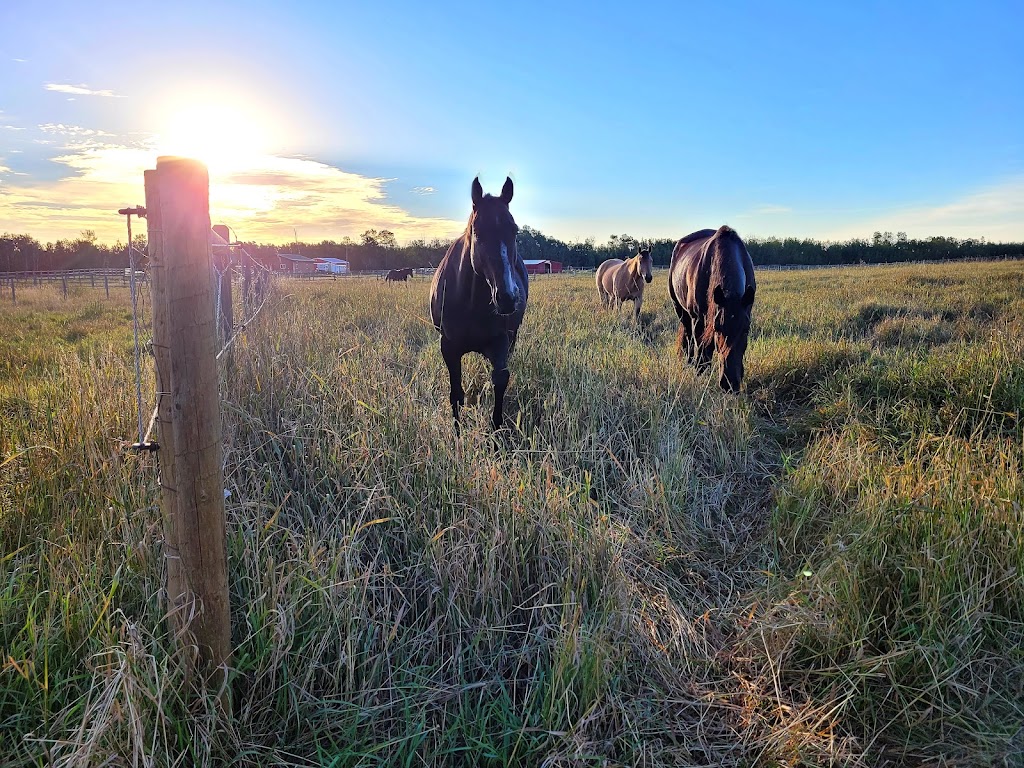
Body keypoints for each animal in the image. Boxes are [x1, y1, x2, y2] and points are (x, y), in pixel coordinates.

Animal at [430, 177, 532, 436]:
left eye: (514, 230)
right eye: (478, 232)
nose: (507, 297)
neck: (470, 302)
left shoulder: (501, 342)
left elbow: (500, 381)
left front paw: (495, 433)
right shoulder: (448, 347)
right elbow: (456, 394)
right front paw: (457, 434)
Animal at [667, 222, 757, 391]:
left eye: (746, 329)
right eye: (718, 328)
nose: (730, 384)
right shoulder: (699, 320)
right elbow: (703, 347)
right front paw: (700, 373)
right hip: (681, 311)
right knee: (688, 337)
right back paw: (689, 363)